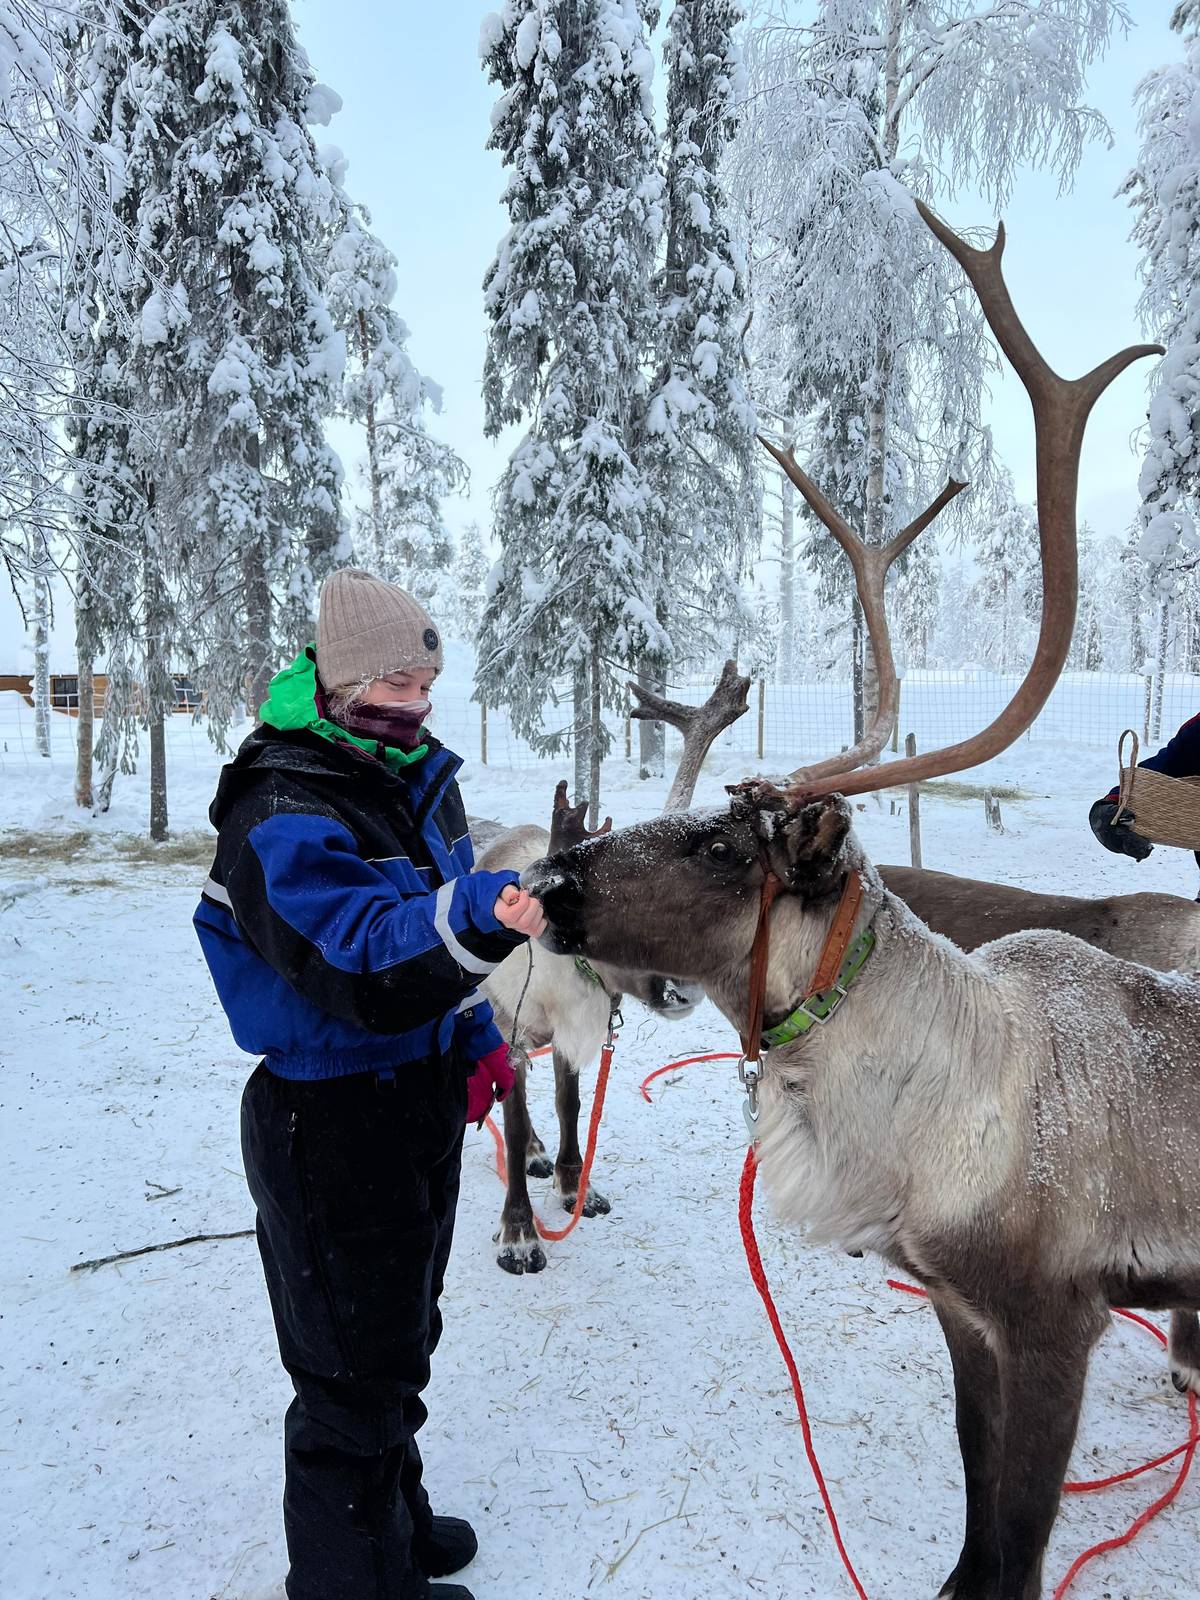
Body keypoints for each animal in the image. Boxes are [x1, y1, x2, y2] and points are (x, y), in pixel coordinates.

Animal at [474, 660, 751, 1273]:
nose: (686, 989)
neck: (565, 977)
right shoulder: (512, 1030)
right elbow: (516, 1116)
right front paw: (518, 1232)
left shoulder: (575, 1035)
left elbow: (570, 1106)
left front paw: (573, 1184)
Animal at [522, 204, 1200, 1600]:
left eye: (722, 845)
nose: (548, 883)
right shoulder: (956, 1310)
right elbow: (972, 1535)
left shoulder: (1056, 1317)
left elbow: (1015, 1552)